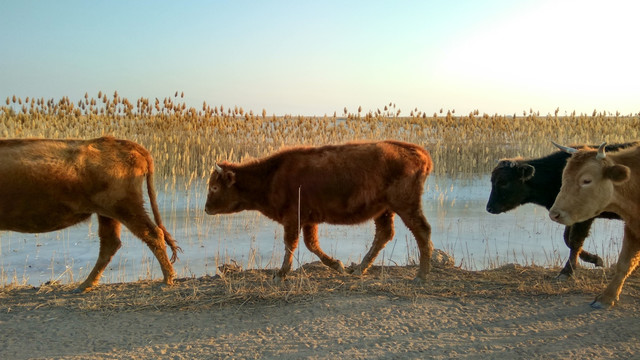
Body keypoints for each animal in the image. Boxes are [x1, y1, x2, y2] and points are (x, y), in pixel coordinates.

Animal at [0, 136, 180, 292]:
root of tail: (120, 142)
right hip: (109, 214)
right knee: (111, 243)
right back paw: (85, 285)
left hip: (126, 209)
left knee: (152, 234)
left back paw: (167, 279)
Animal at [205, 139, 436, 282]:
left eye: (214, 187)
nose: (206, 208)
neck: (272, 176)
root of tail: (420, 152)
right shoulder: (309, 221)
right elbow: (311, 244)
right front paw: (338, 266)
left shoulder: (293, 219)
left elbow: (291, 244)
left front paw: (280, 275)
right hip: (384, 210)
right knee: (384, 234)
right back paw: (358, 269)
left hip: (405, 205)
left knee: (421, 231)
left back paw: (421, 276)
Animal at [484, 142, 636, 278]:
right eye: (492, 180)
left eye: (503, 182)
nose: (489, 208)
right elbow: (567, 239)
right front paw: (595, 259)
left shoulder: (583, 218)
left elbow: (575, 240)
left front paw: (567, 271)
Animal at [548, 142, 636, 308]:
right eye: (564, 177)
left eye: (586, 180)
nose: (554, 214)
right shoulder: (632, 228)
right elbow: (624, 263)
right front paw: (606, 298)